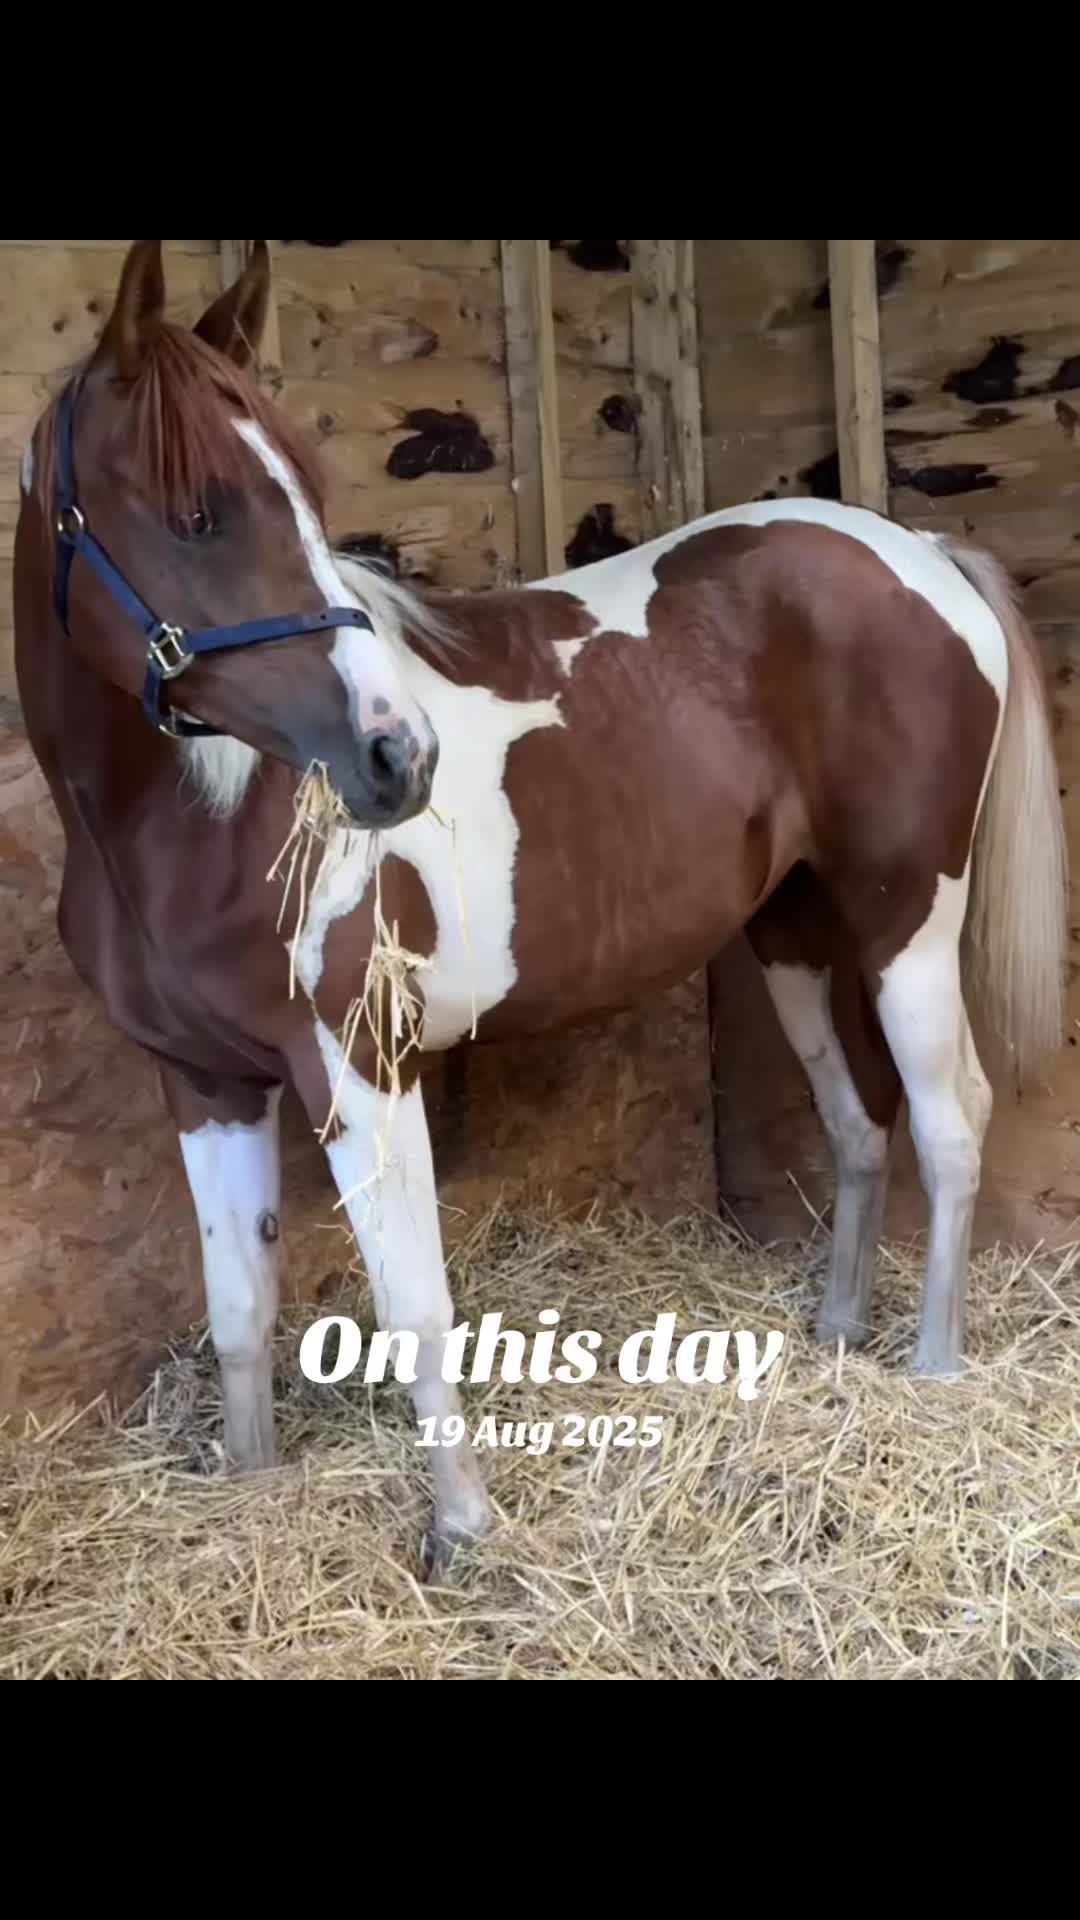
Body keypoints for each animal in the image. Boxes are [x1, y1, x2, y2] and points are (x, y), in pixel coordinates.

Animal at [13, 239, 1069, 1572]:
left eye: (304, 490)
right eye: (196, 509)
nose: (394, 756)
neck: (200, 817)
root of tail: (923, 554)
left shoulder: (361, 1067)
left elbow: (416, 1304)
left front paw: (464, 1530)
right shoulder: (203, 1084)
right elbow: (239, 1307)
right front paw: (252, 1489)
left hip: (905, 921)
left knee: (949, 1117)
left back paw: (933, 1368)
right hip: (788, 930)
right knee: (858, 1122)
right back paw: (837, 1336)